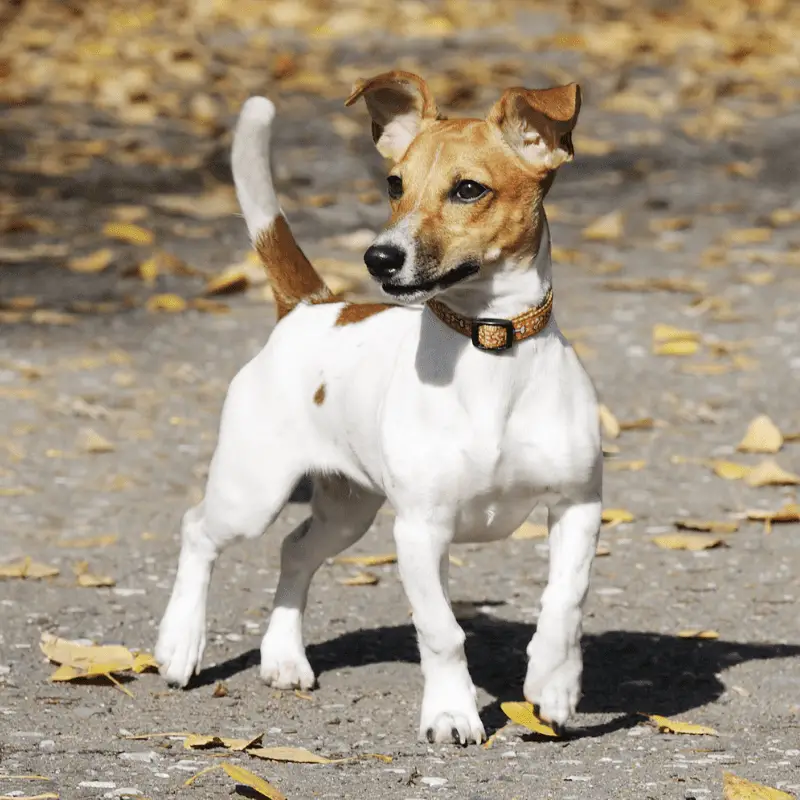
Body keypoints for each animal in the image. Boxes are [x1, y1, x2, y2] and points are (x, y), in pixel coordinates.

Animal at [155, 72, 600, 748]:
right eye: (394, 184)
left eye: (468, 189)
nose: (379, 258)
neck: (490, 345)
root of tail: (309, 308)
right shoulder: (419, 529)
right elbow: (442, 631)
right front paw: (451, 712)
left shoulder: (577, 506)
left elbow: (563, 604)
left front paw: (553, 684)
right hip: (251, 494)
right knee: (198, 531)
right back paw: (180, 644)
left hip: (348, 509)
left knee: (295, 551)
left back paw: (283, 657)